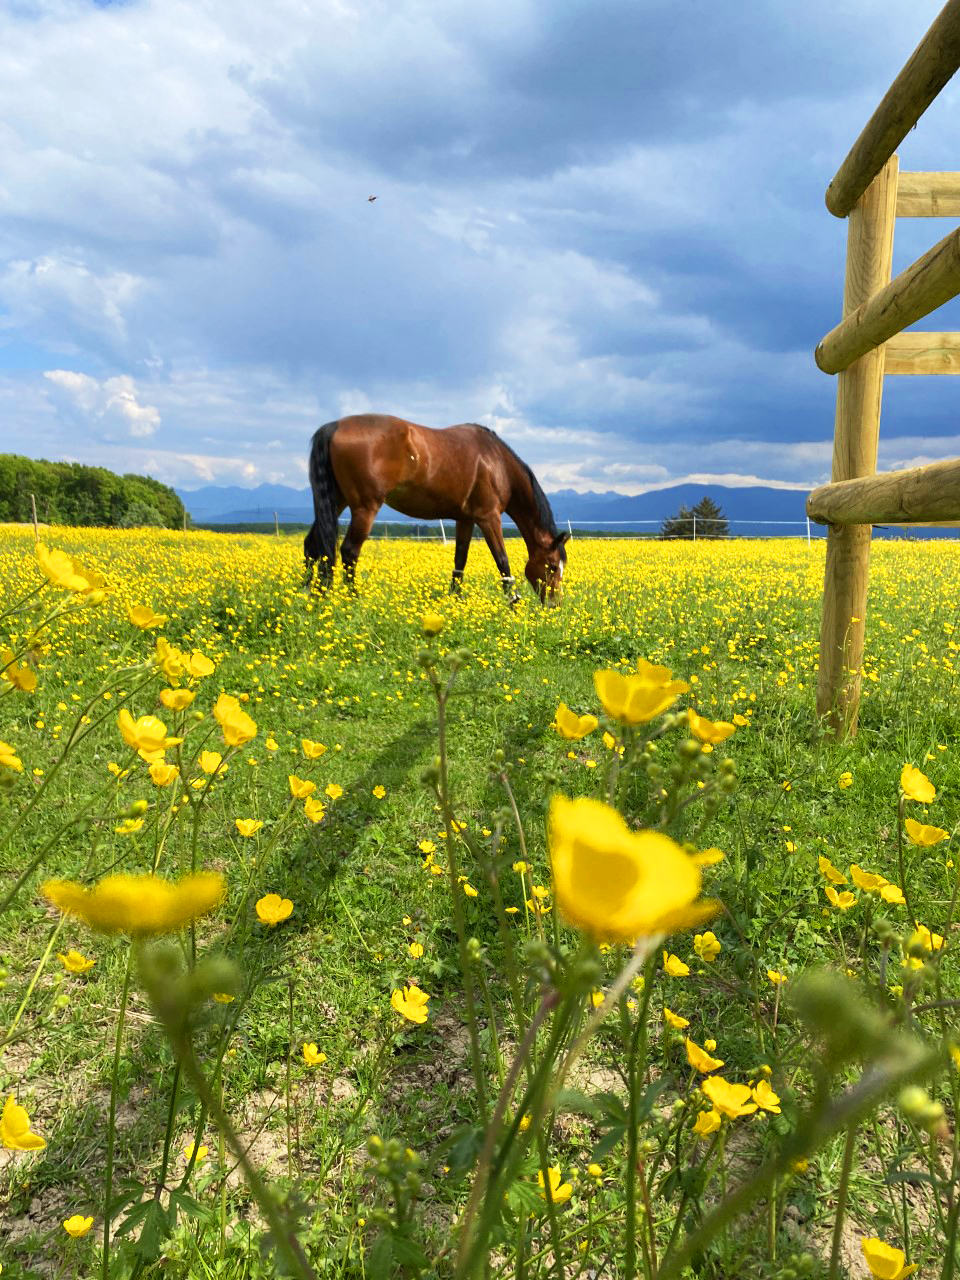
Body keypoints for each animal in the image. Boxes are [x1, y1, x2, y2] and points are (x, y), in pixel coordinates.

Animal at [304, 414, 568, 604]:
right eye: (553, 566)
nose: (554, 604)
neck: (497, 463)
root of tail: (335, 426)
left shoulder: (465, 519)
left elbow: (460, 560)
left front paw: (455, 600)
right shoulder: (489, 518)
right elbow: (502, 561)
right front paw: (513, 601)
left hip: (337, 501)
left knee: (313, 545)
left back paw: (309, 594)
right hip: (364, 507)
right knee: (349, 551)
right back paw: (352, 599)